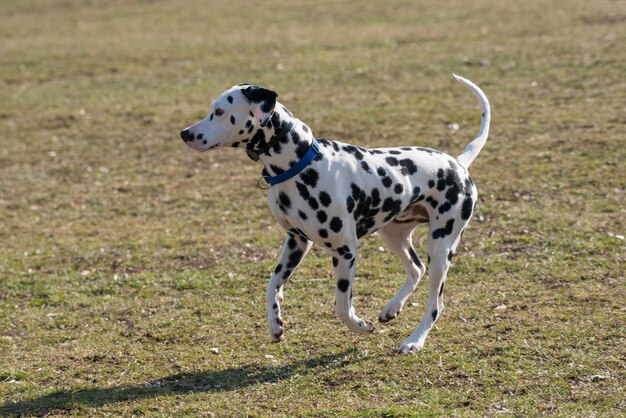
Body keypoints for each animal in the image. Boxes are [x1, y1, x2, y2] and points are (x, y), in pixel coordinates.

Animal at [179, 75, 488, 352]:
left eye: (219, 112)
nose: (185, 133)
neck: (300, 164)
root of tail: (457, 163)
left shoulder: (345, 251)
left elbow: (341, 306)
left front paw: (360, 326)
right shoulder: (296, 243)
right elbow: (271, 285)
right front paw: (275, 325)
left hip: (441, 246)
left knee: (435, 303)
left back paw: (414, 341)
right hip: (394, 234)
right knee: (415, 268)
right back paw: (391, 308)